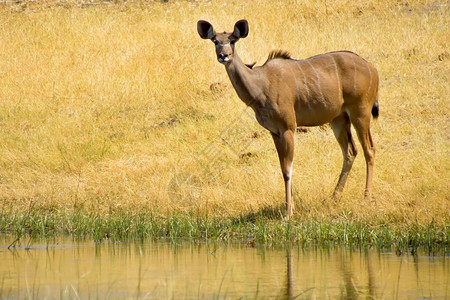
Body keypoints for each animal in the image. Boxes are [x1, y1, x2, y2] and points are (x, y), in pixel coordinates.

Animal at [199, 19, 378, 219]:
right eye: (215, 41)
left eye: (232, 40)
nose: (223, 56)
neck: (261, 84)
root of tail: (372, 69)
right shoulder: (274, 132)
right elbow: (282, 167)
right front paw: (289, 208)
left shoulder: (288, 127)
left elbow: (287, 169)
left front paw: (288, 213)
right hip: (339, 118)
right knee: (350, 151)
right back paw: (333, 198)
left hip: (360, 112)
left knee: (369, 149)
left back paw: (366, 197)